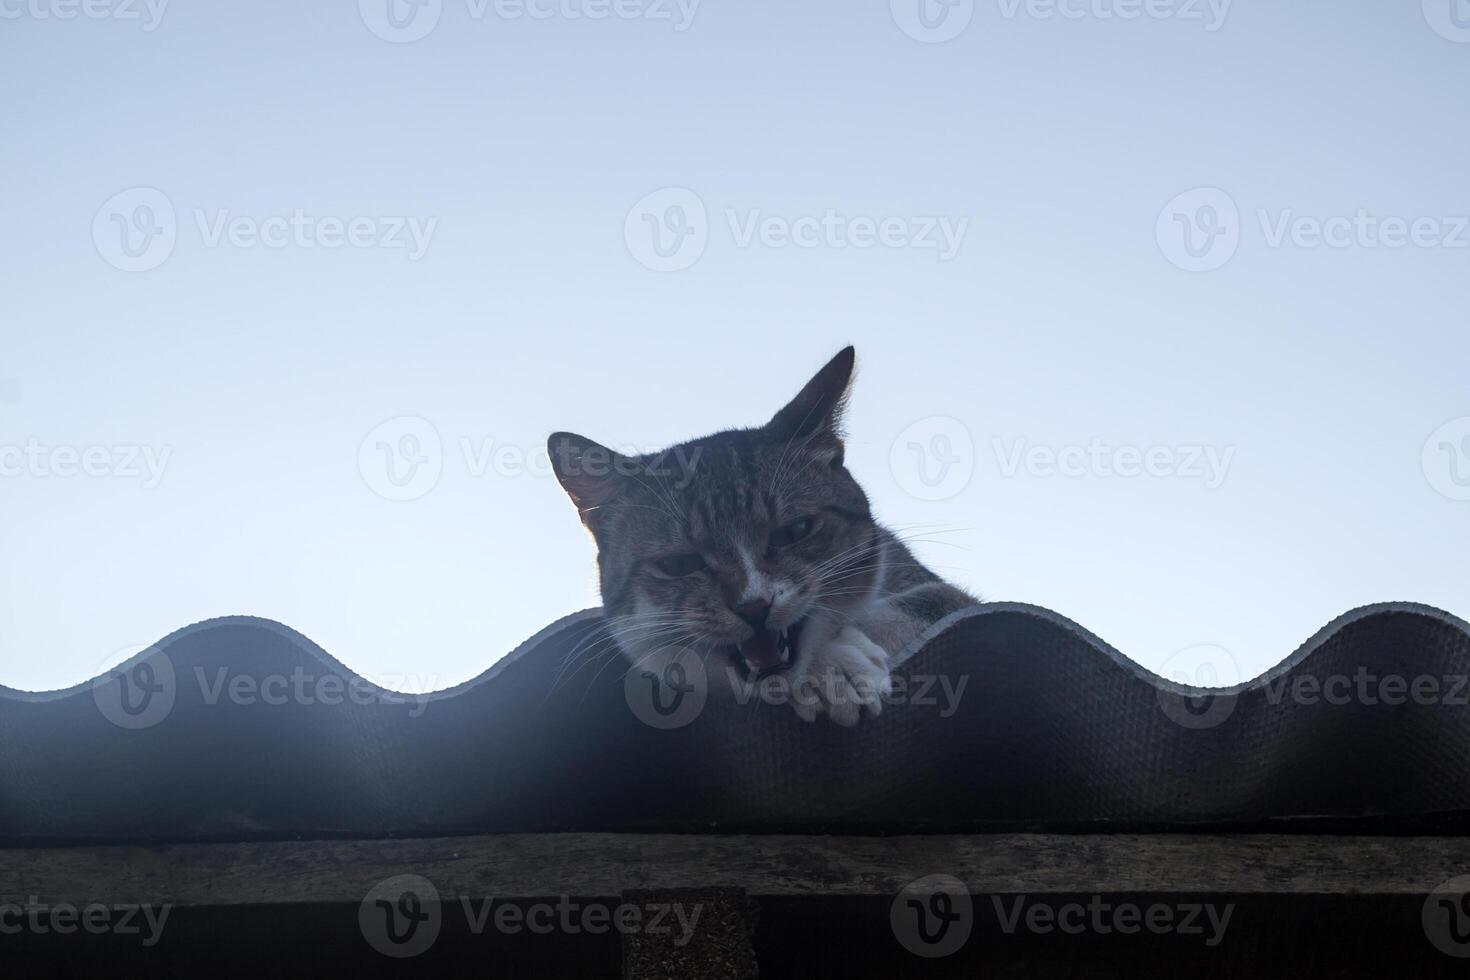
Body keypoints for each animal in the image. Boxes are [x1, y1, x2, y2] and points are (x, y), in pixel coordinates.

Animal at [549, 348, 976, 725]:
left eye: (795, 531)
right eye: (678, 563)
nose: (754, 606)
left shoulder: (940, 590)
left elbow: (914, 603)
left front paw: (832, 662)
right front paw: (830, 668)